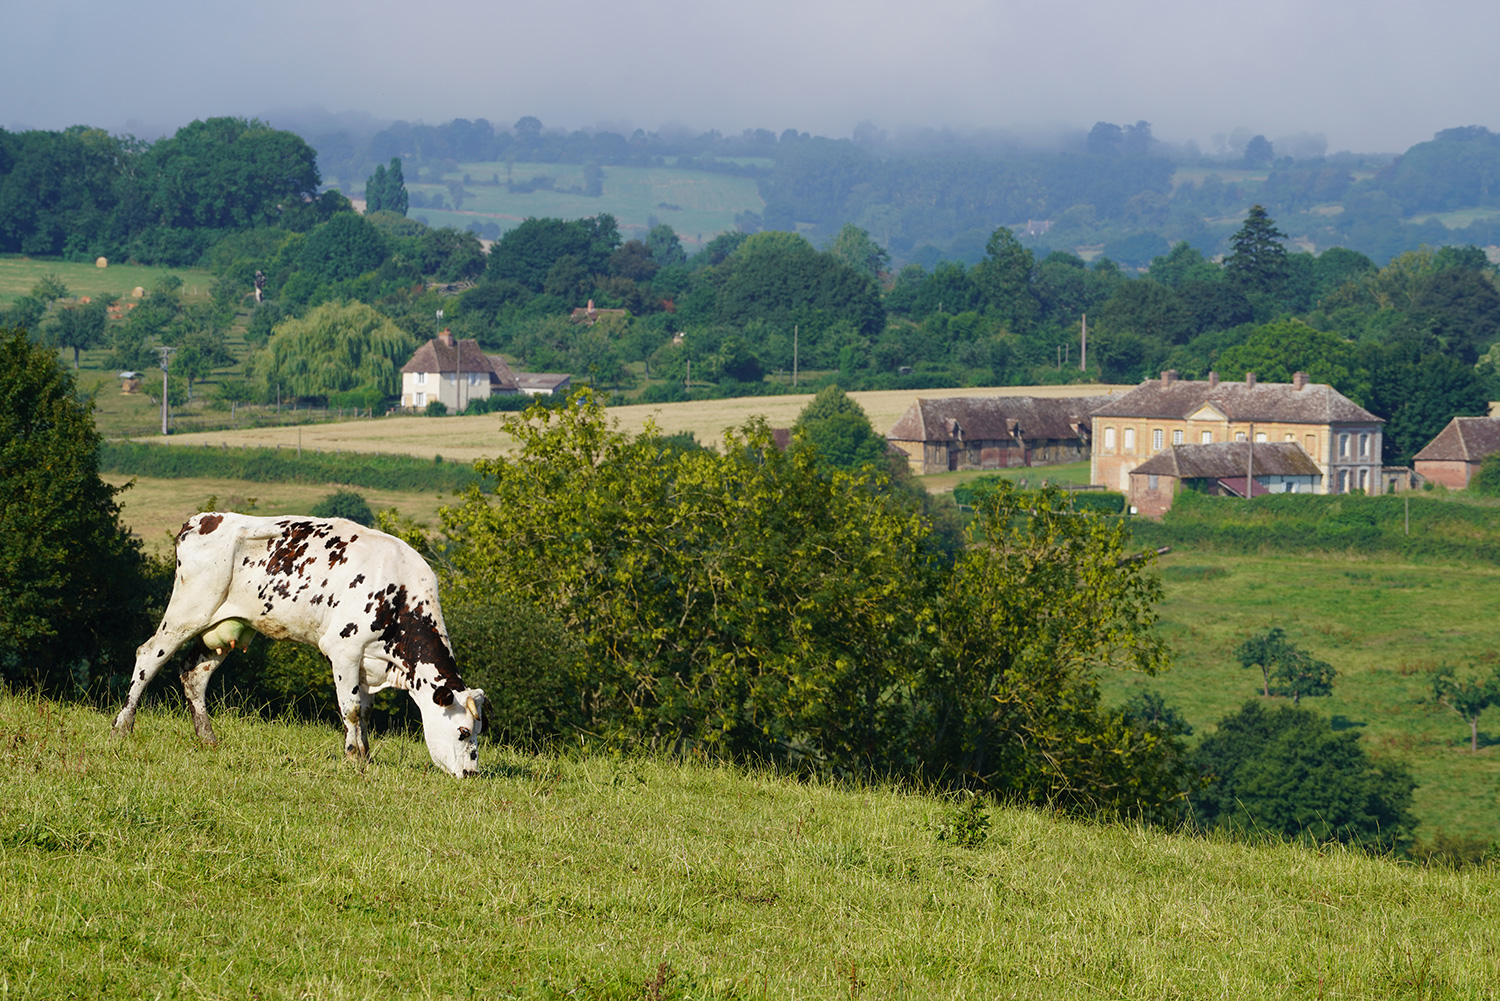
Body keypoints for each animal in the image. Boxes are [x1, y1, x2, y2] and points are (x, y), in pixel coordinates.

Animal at [112, 513, 486, 780]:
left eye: (479, 731)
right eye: (463, 731)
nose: (471, 773)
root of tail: (200, 519)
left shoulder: (367, 663)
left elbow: (364, 712)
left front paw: (366, 754)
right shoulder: (343, 649)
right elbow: (350, 708)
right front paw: (353, 758)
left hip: (221, 628)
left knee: (194, 675)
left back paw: (208, 739)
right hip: (188, 610)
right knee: (148, 656)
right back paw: (122, 727)